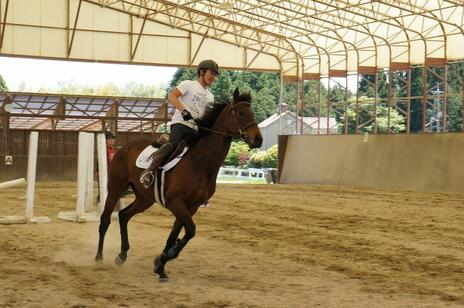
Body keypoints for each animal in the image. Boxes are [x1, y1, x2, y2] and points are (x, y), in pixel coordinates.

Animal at [94, 87, 262, 282]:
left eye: (253, 113)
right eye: (241, 113)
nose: (258, 139)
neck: (199, 162)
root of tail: (124, 148)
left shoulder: (191, 206)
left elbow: (176, 235)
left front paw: (160, 264)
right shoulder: (176, 203)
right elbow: (190, 231)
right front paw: (162, 260)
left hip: (144, 199)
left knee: (123, 215)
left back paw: (122, 256)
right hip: (115, 188)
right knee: (105, 219)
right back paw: (99, 258)